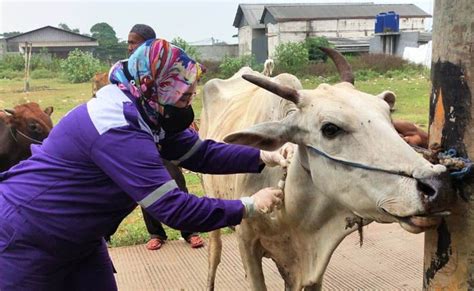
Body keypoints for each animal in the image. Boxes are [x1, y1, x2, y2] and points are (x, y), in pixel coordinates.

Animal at [198, 48, 450, 291]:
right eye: (330, 129)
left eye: (389, 116)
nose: (436, 185)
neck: (291, 208)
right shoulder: (247, 241)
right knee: (214, 253)